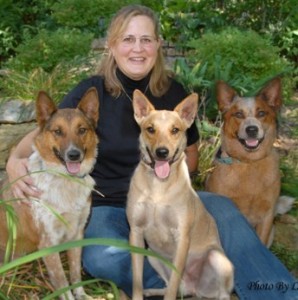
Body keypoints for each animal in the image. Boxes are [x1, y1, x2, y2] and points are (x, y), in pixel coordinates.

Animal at [125, 89, 233, 300]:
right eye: (150, 129)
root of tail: (196, 289)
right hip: (153, 257)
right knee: (172, 286)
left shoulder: (182, 237)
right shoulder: (136, 233)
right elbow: (137, 280)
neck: (158, 187)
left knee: (222, 293)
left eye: (175, 130)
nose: (162, 152)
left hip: (218, 259)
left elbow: (173, 285)